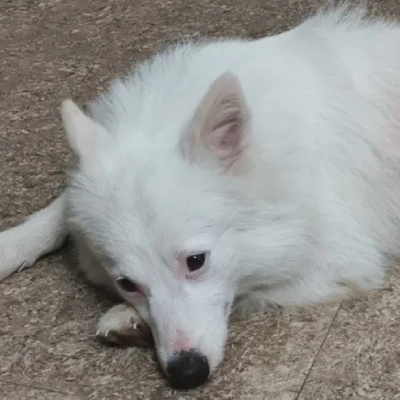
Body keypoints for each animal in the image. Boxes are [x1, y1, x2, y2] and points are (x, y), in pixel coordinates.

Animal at [0, 3, 400, 390]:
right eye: (126, 283)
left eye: (196, 261)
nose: (186, 374)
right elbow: (61, 206)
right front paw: (12, 245)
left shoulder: (342, 260)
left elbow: (248, 288)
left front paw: (127, 317)